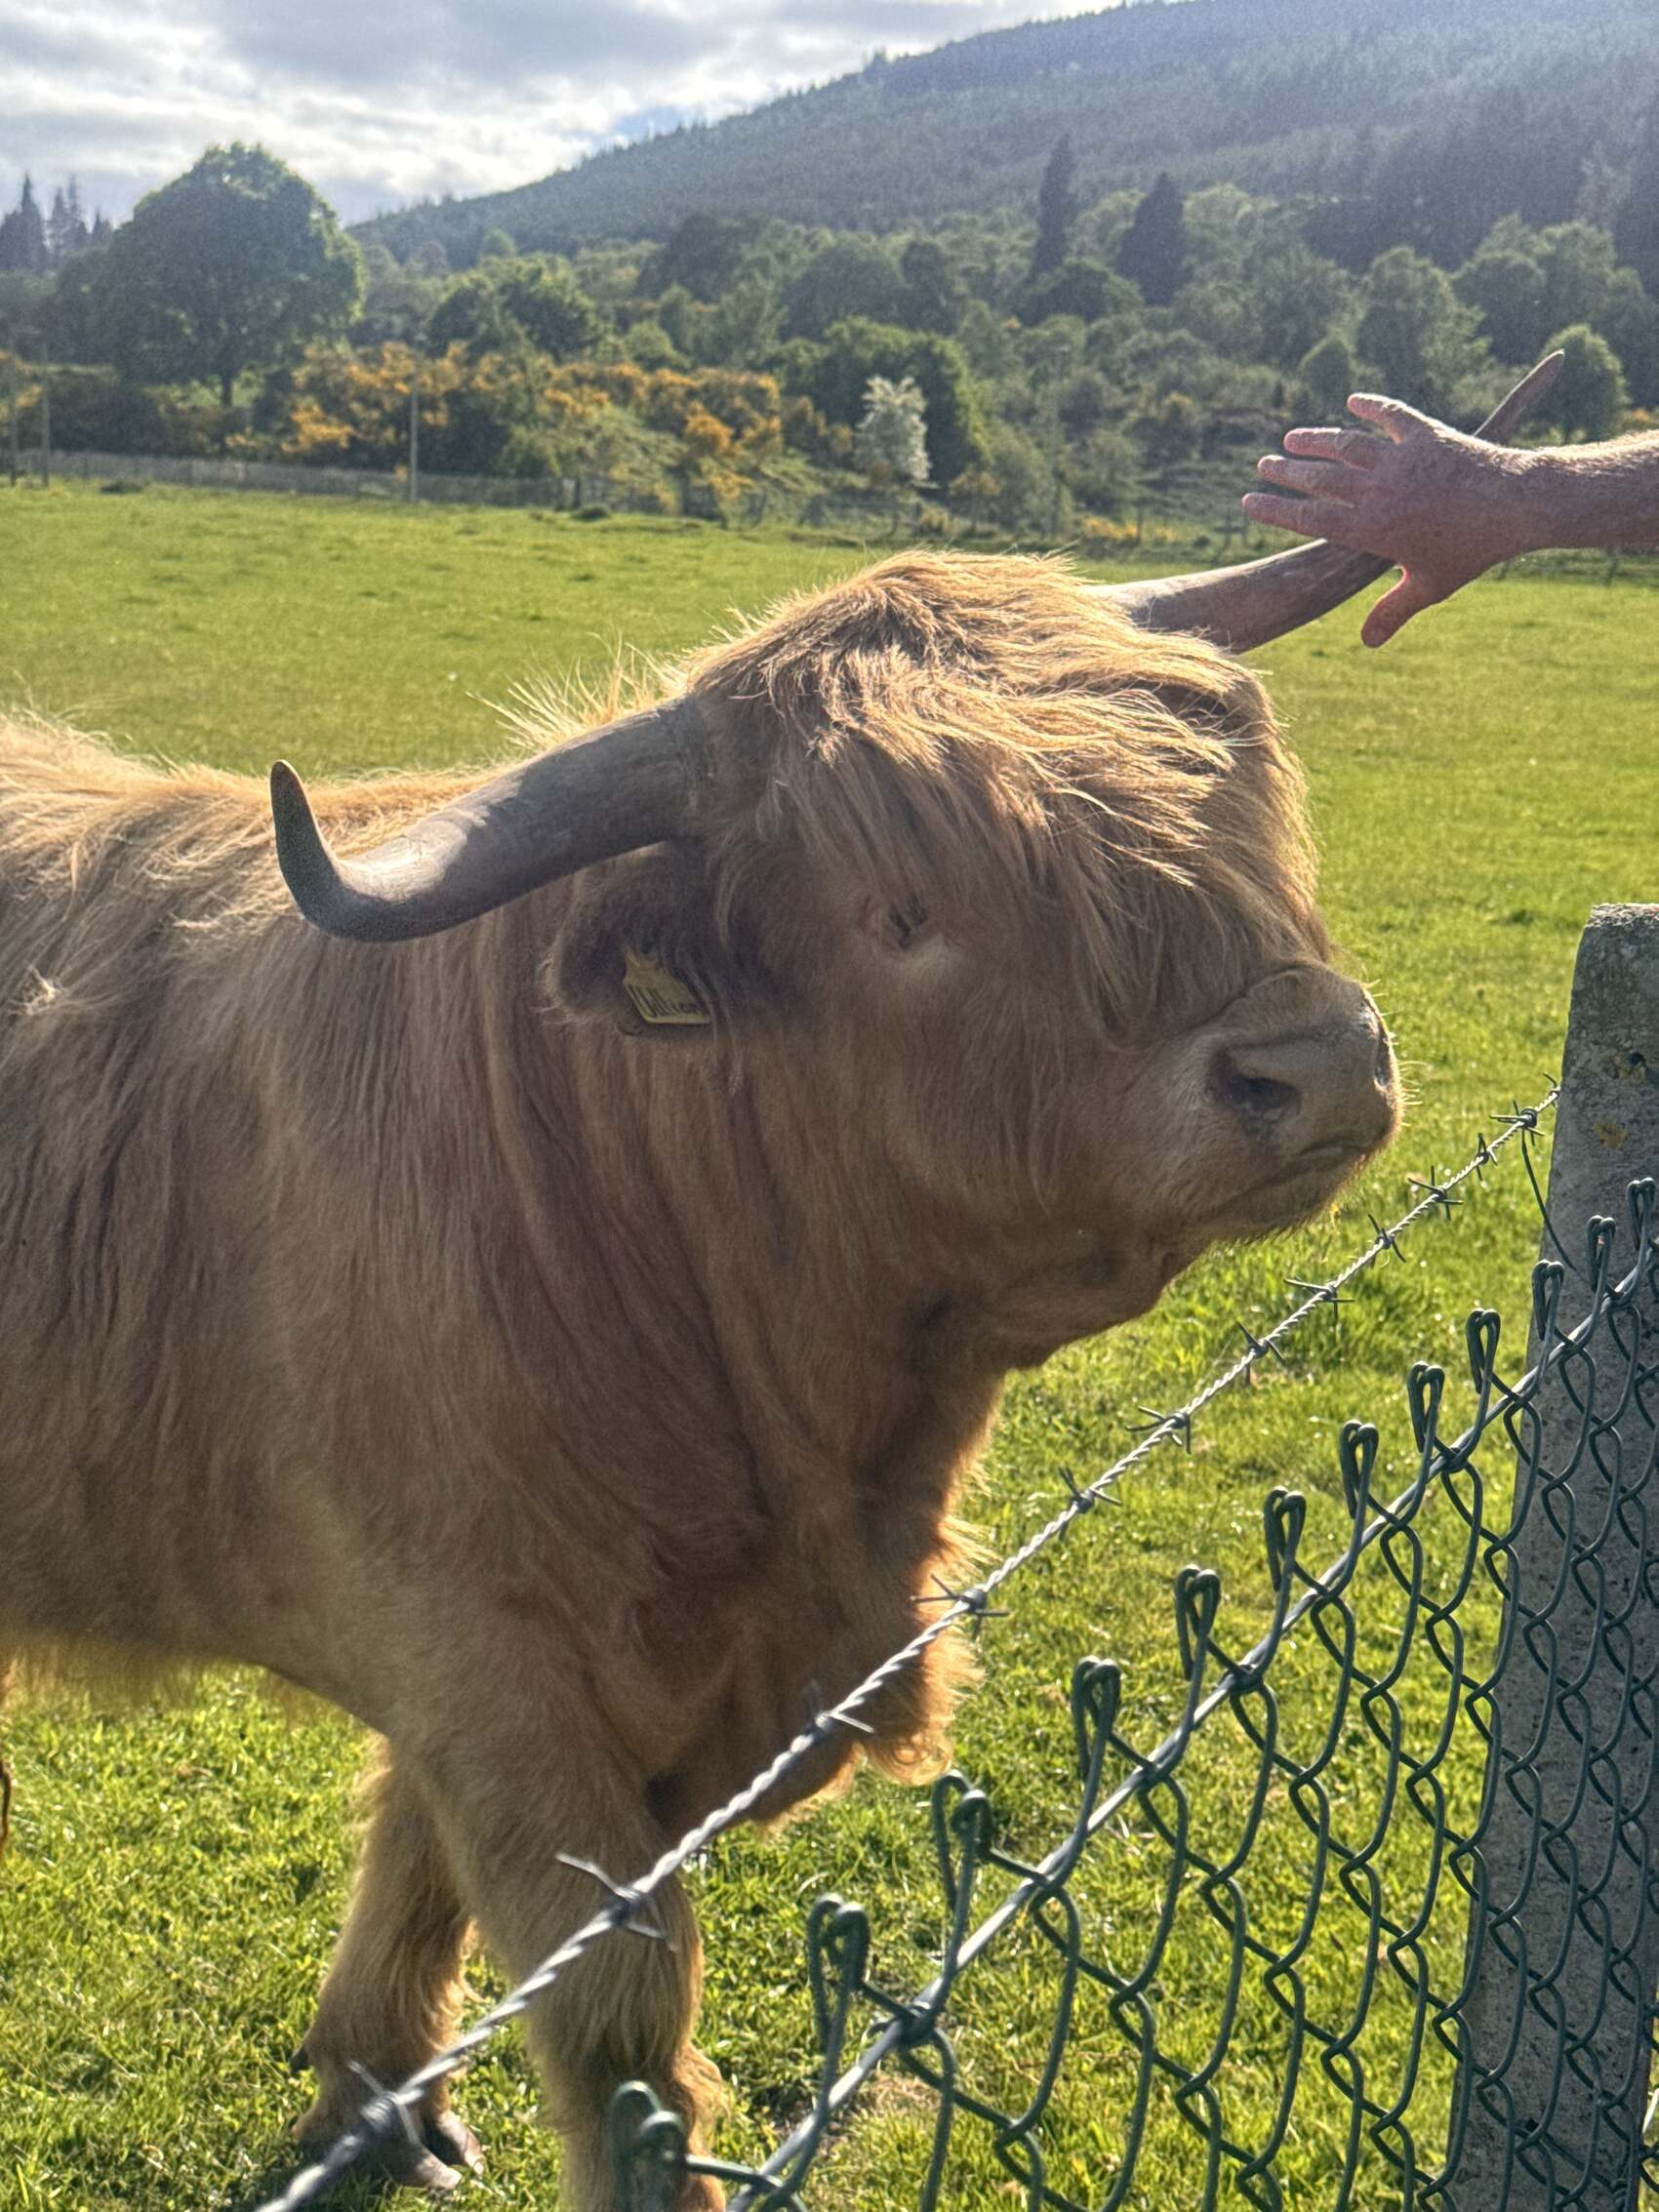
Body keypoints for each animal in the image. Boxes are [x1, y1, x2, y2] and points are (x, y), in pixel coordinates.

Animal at [0, 362, 1549, 2212]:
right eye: (902, 909)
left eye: (1228, 797)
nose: (1313, 1064)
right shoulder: (485, 1649)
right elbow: (612, 2004)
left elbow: (416, 1856)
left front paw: (377, 2089)